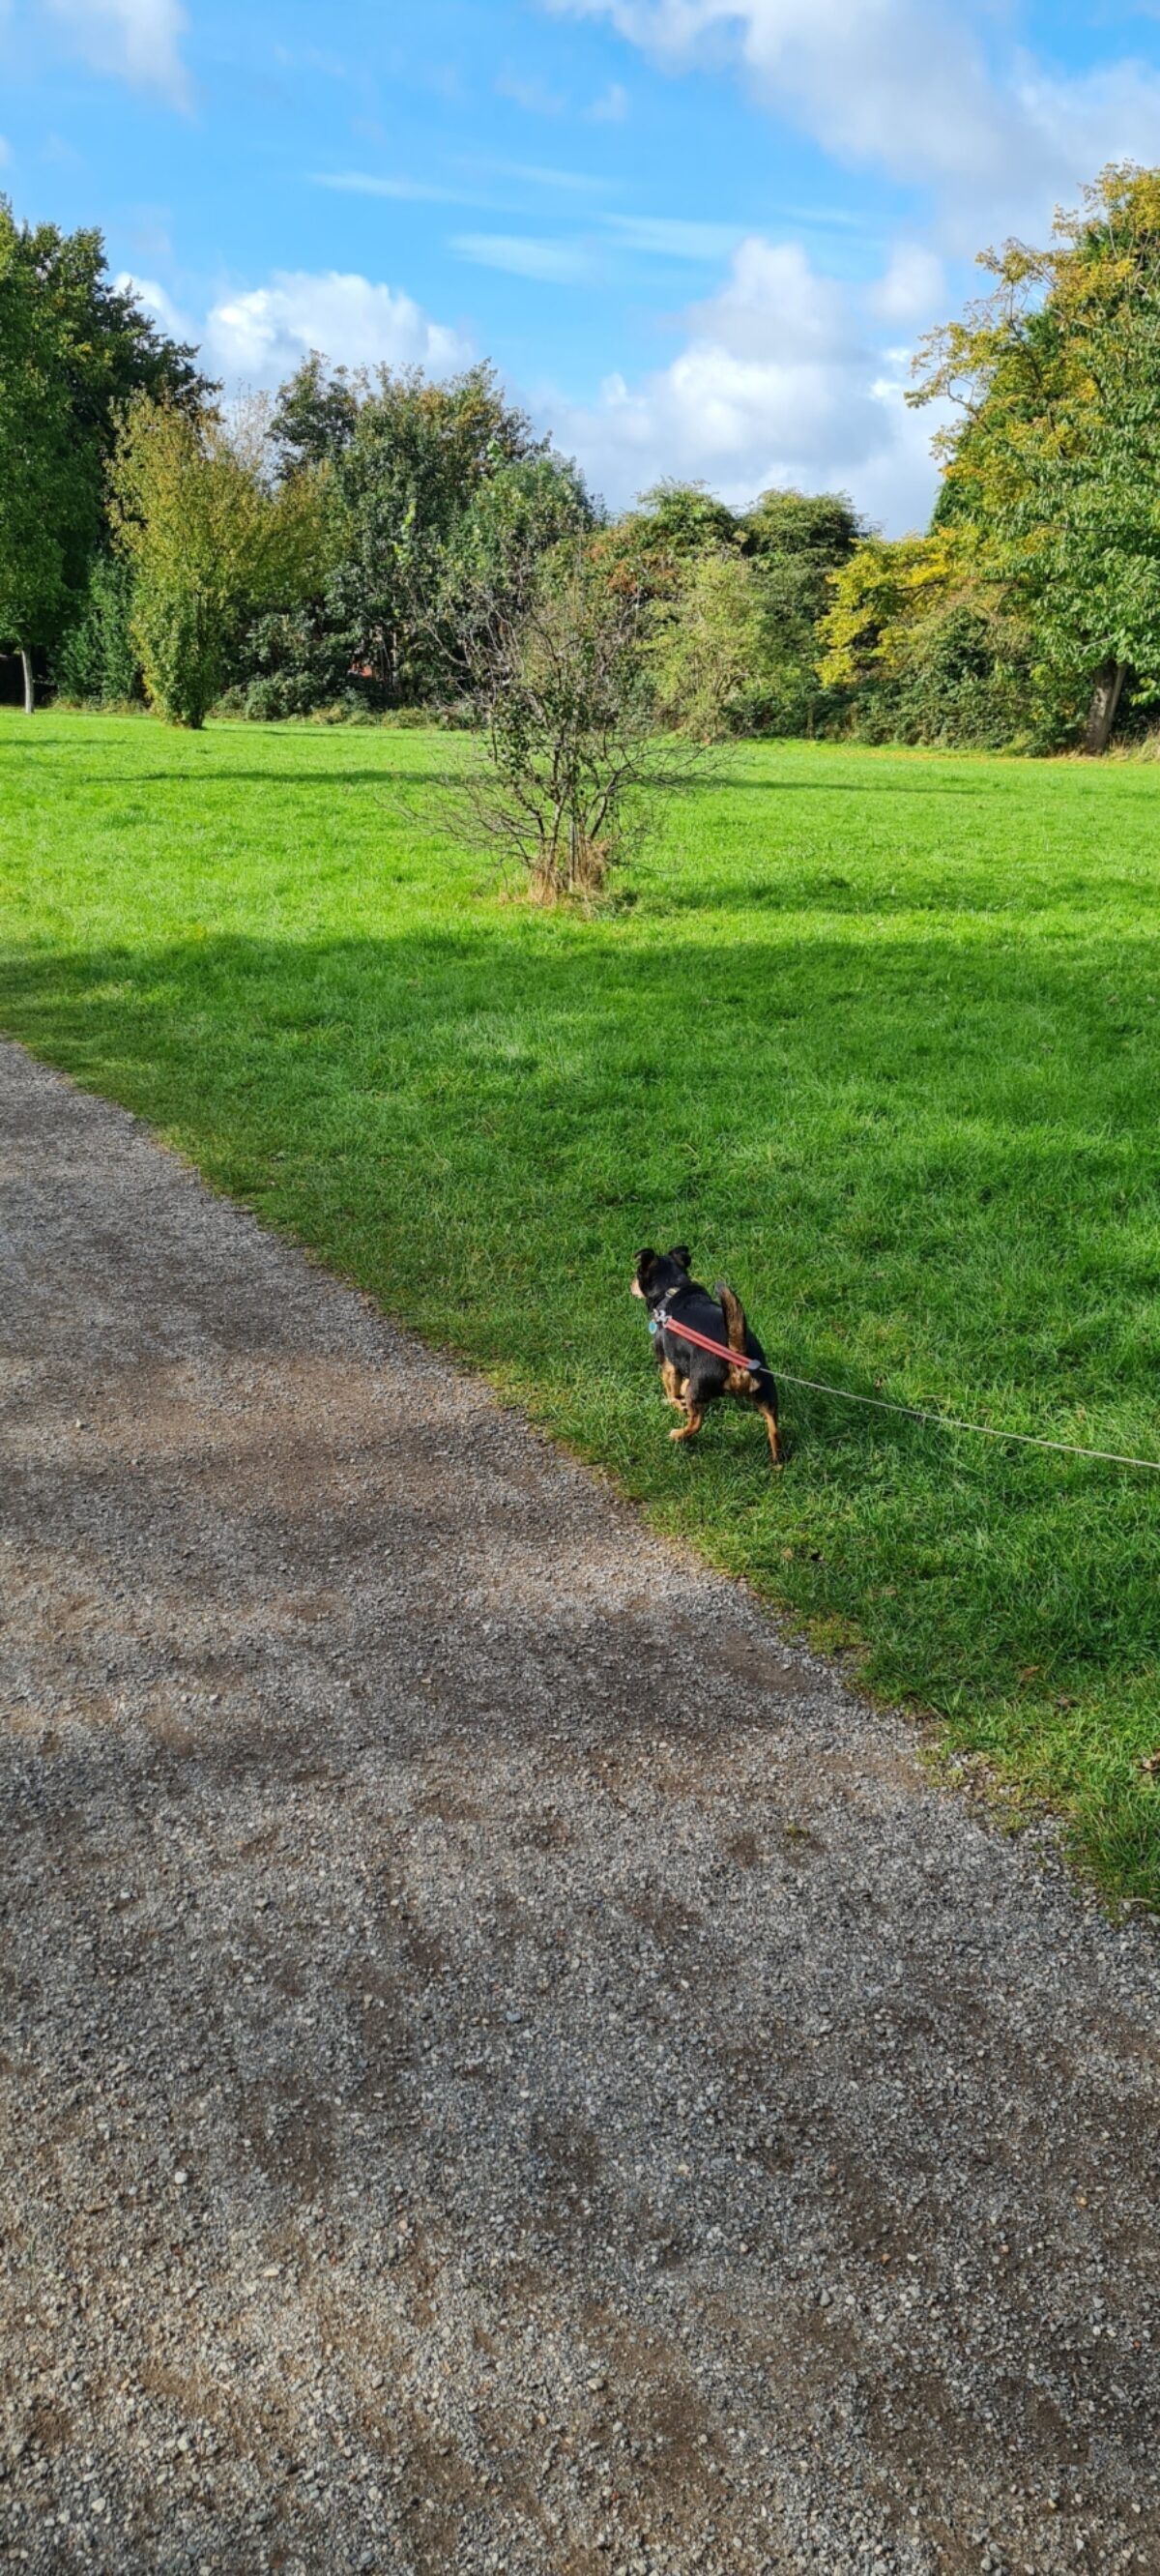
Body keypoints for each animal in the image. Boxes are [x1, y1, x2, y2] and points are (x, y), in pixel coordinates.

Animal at [628, 1246, 783, 1473]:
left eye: (636, 1274)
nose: (631, 1285)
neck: (672, 1288)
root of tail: (736, 1352)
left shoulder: (668, 1365)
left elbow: (672, 1390)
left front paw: (674, 1402)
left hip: (698, 1388)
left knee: (696, 1423)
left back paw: (679, 1435)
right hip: (767, 1393)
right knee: (774, 1428)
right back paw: (778, 1461)